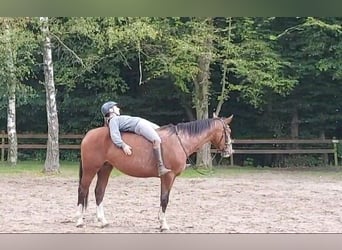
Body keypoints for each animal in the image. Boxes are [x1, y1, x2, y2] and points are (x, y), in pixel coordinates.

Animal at [76, 115, 234, 230]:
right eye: (228, 131)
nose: (230, 151)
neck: (180, 141)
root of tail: (88, 135)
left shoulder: (170, 178)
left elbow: (164, 198)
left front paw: (160, 221)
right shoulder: (168, 176)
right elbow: (164, 199)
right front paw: (163, 224)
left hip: (105, 168)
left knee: (99, 192)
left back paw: (102, 221)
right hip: (91, 169)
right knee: (83, 190)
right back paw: (79, 220)